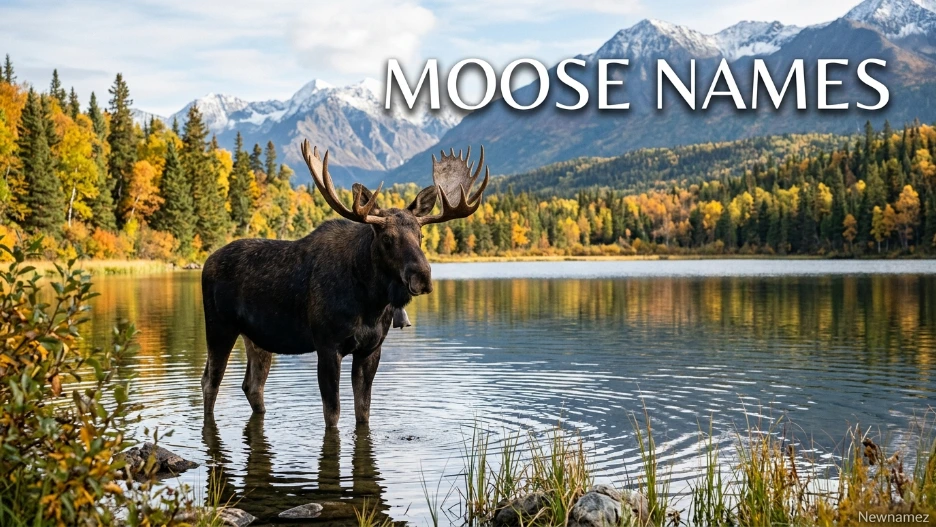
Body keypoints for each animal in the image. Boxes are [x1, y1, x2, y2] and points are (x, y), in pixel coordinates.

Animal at [200, 139, 489, 428]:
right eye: (387, 238)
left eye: (421, 235)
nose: (422, 276)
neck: (370, 302)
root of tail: (206, 262)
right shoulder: (328, 346)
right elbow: (333, 413)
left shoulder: (371, 349)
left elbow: (363, 412)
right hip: (219, 327)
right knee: (210, 382)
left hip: (258, 337)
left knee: (252, 386)